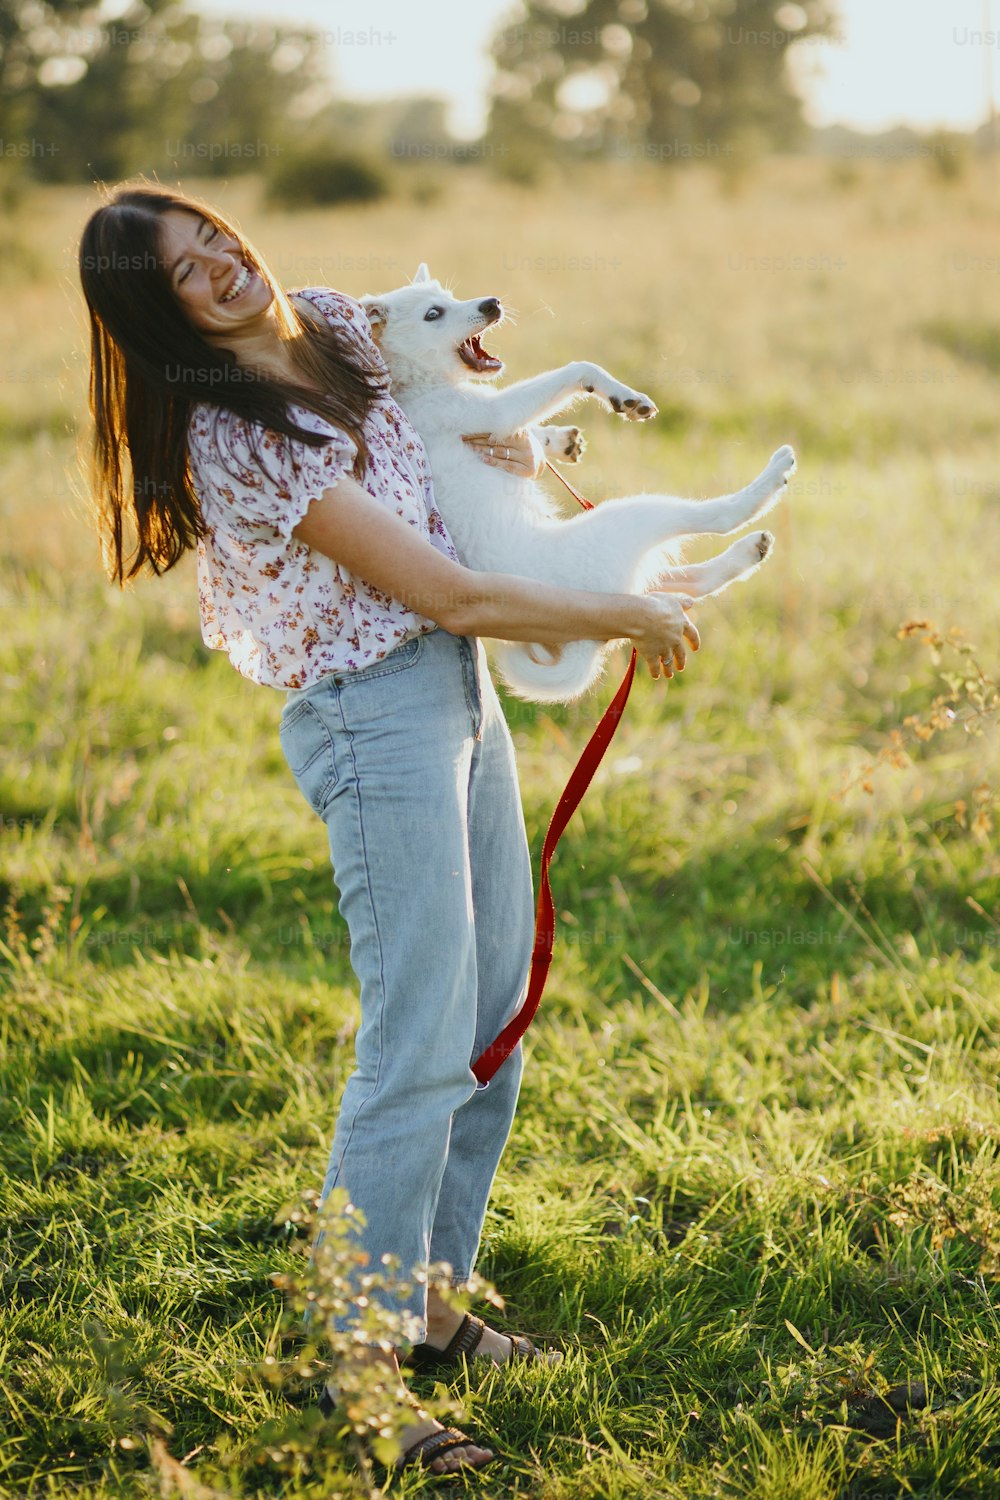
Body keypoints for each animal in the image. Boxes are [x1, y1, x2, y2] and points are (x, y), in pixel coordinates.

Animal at [359, 265, 797, 702]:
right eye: (433, 314)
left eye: (451, 298)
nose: (492, 303)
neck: (417, 382)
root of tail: (587, 641)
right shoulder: (491, 412)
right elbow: (577, 368)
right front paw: (623, 397)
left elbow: (533, 431)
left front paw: (557, 440)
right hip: (625, 521)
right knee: (716, 519)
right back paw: (773, 477)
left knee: (689, 581)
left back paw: (751, 551)